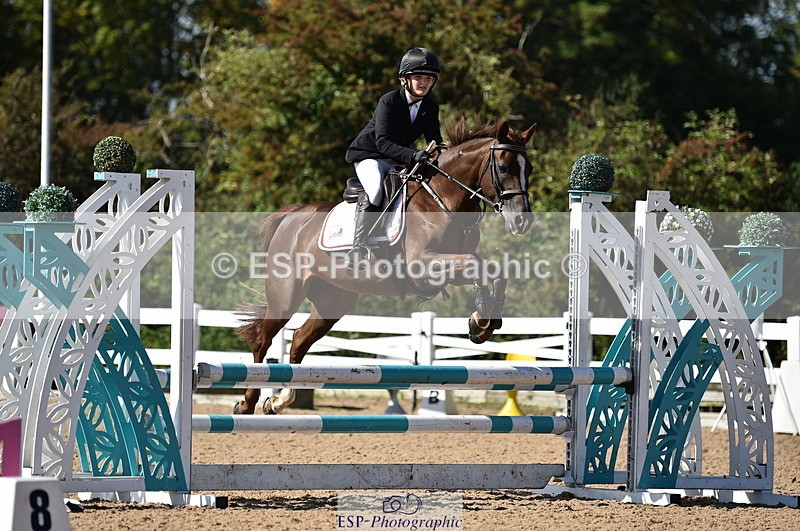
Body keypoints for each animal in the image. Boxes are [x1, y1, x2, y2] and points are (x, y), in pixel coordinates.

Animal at [235, 119, 536, 414]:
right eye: (503, 167)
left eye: (529, 169)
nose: (522, 221)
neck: (443, 200)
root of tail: (293, 216)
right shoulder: (423, 266)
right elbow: (477, 263)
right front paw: (480, 320)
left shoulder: (447, 269)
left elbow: (493, 270)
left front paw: (484, 323)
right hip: (286, 296)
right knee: (263, 339)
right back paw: (247, 403)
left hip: (333, 300)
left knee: (298, 339)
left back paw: (278, 401)